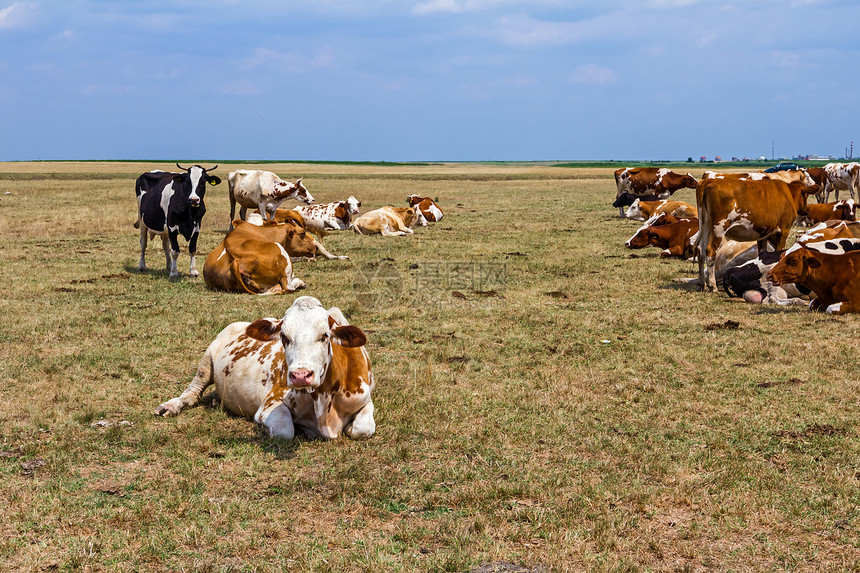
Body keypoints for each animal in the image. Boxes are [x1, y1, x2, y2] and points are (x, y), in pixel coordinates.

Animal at [153, 294, 374, 438]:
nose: (301, 376)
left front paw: (350, 428)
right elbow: (284, 431)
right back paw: (170, 406)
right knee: (192, 392)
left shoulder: (366, 400)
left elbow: (364, 429)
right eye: (284, 336)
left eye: (325, 335)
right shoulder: (270, 403)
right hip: (206, 361)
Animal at [692, 177, 820, 290]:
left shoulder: (763, 234)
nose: (806, 210)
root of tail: (710, 180)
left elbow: (762, 253)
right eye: (806, 195)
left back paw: (700, 284)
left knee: (700, 250)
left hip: (705, 224)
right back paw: (712, 285)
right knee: (710, 251)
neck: (788, 193)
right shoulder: (784, 230)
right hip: (719, 227)